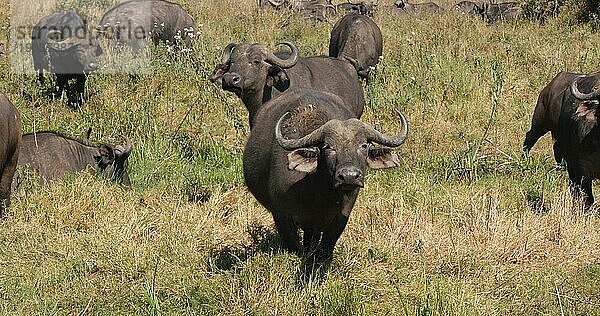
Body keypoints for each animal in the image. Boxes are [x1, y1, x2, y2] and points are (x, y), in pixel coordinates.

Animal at [244, 88, 408, 260]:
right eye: (328, 146)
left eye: (363, 145)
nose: (349, 176)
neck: (318, 195)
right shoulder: (281, 214)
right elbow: (294, 247)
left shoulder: (342, 215)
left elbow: (326, 247)